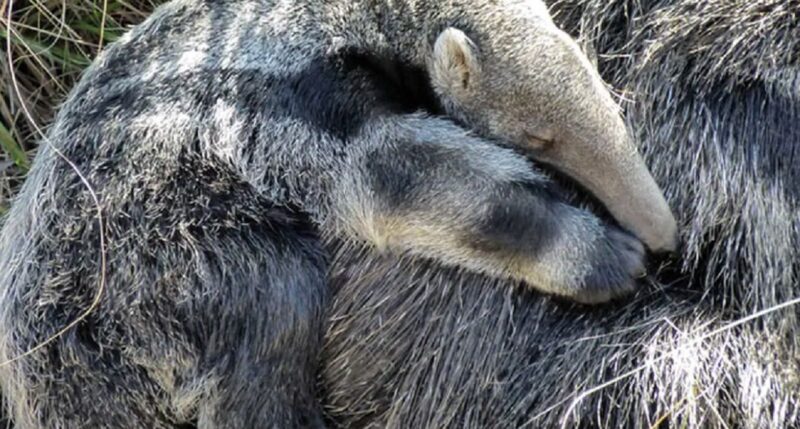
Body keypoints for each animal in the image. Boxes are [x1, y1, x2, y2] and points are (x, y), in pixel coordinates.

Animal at [0, 0, 674, 427]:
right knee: (268, 323)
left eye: (594, 82)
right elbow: (388, 171)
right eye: (541, 137)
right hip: (160, 255)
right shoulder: (292, 104)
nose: (664, 233)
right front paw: (600, 256)